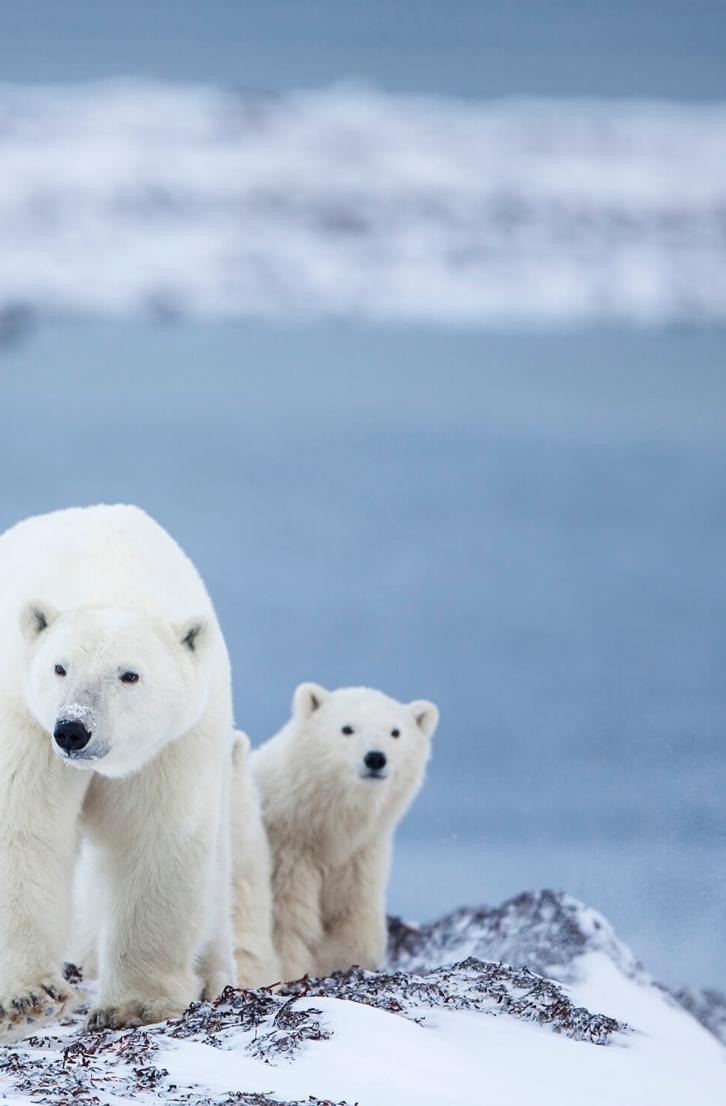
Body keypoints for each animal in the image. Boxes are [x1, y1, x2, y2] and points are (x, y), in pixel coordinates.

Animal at [0, 506, 233, 1035]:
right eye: (59, 667)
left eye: (130, 674)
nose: (72, 730)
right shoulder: (23, 718)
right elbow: (23, 829)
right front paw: (29, 997)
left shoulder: (173, 743)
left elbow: (156, 838)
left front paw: (135, 1004)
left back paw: (212, 976)